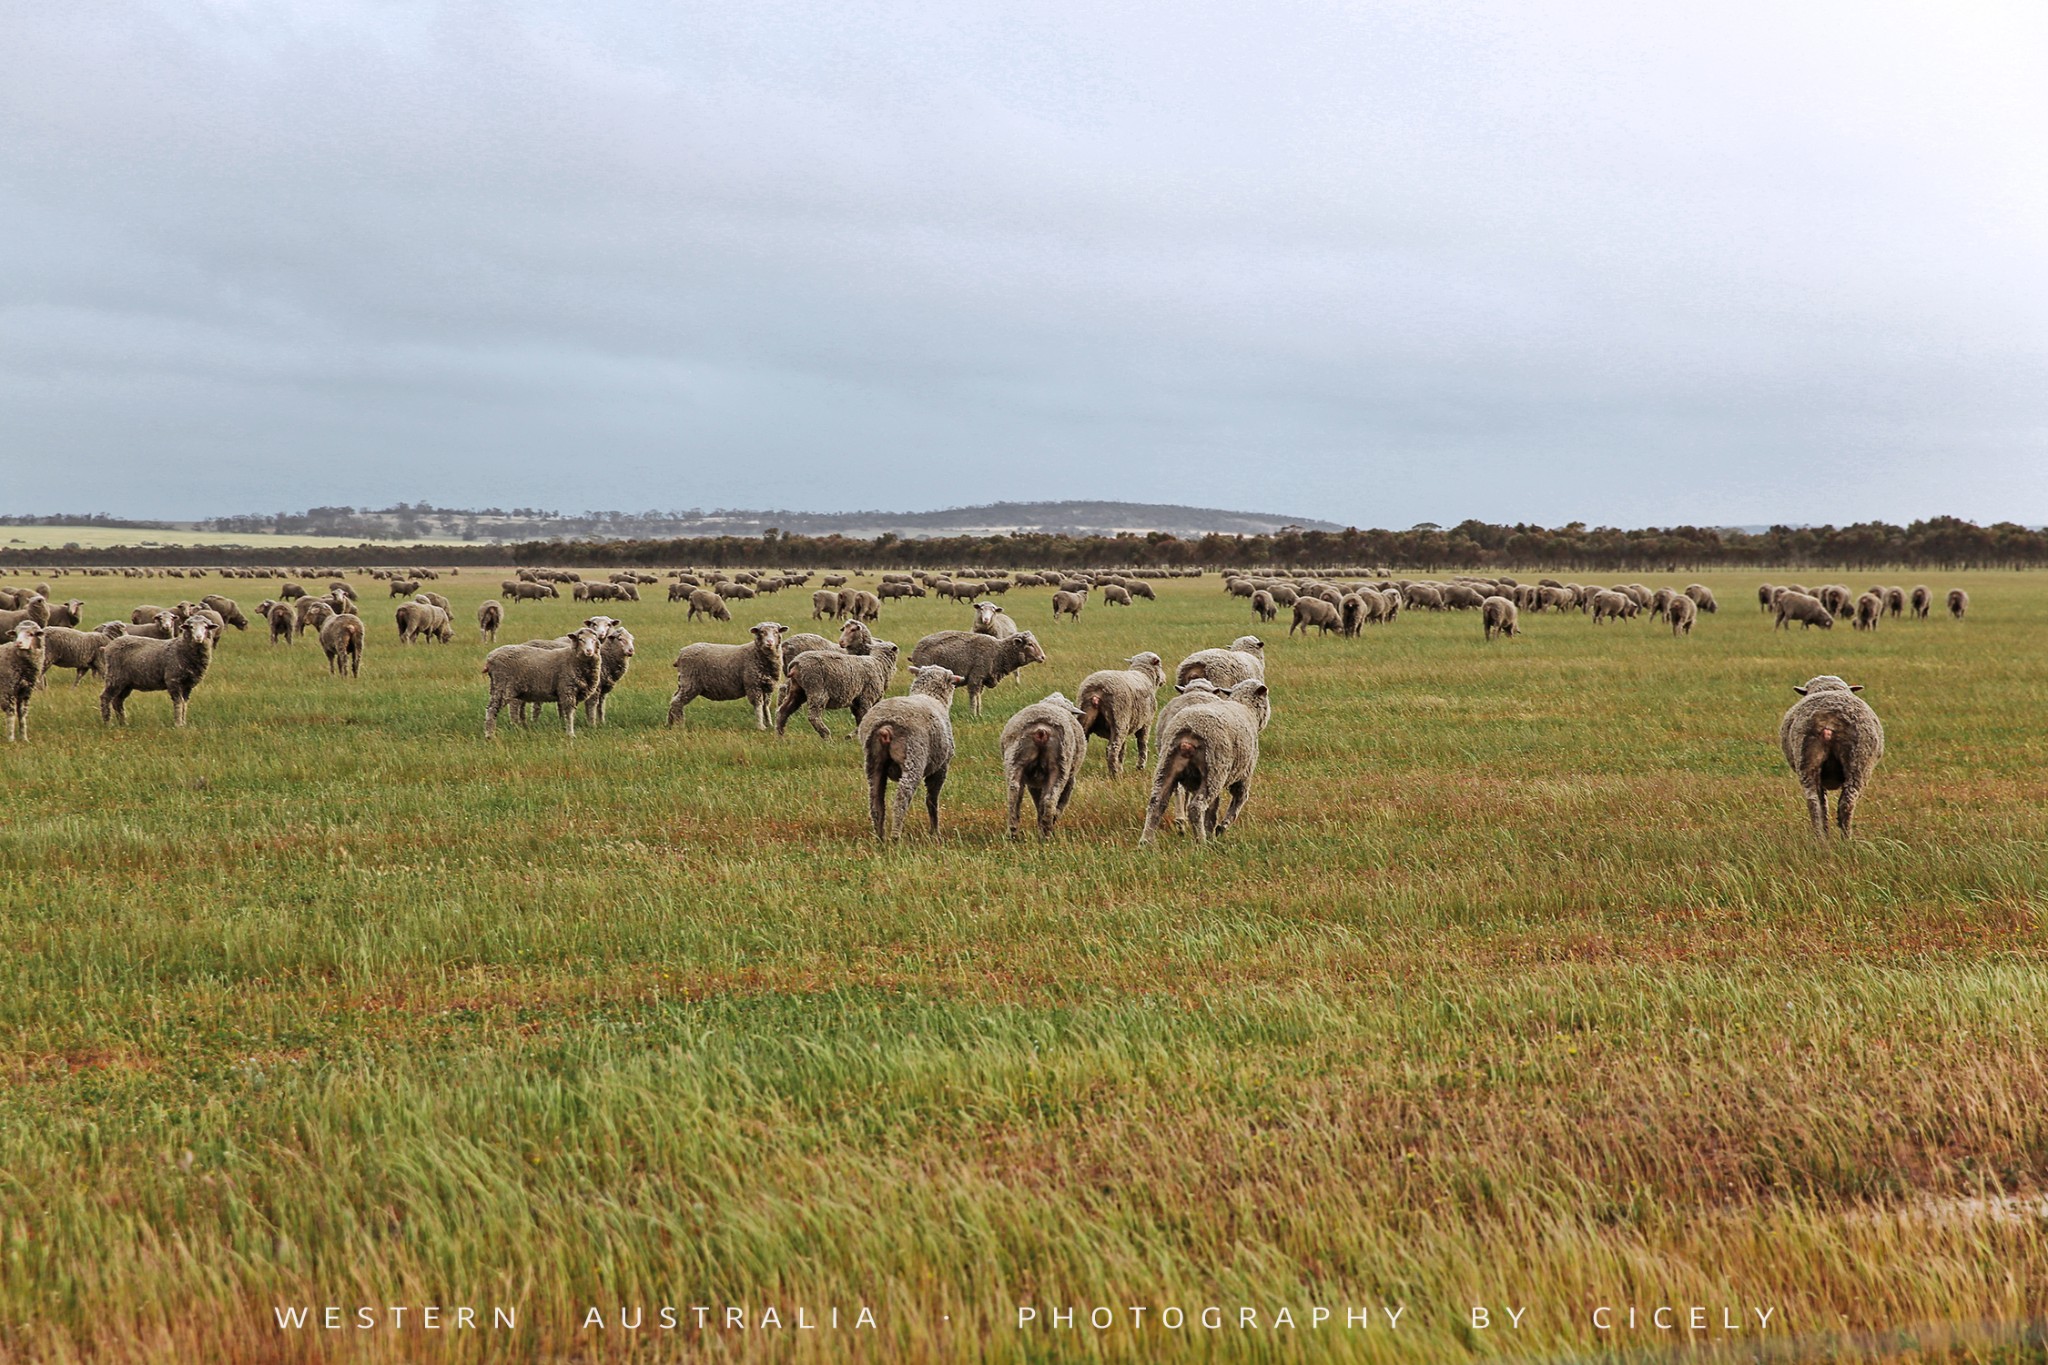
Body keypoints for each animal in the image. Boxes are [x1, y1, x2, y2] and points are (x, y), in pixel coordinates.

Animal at [770, 638, 901, 736]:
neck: (880, 664)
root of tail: (796, 662)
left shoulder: (856, 701)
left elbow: (859, 719)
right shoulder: (866, 697)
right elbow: (865, 717)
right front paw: (852, 736)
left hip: (797, 691)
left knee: (782, 712)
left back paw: (780, 736)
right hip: (817, 689)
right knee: (813, 717)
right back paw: (827, 736)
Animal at [856, 663, 966, 843]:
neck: (930, 695)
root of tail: (886, 728)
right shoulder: (941, 767)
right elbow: (932, 800)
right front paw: (935, 832)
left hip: (873, 761)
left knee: (875, 801)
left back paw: (880, 837)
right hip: (914, 757)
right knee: (902, 797)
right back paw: (895, 836)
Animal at [909, 626, 1040, 720]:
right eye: (1030, 644)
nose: (1042, 657)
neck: (998, 653)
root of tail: (916, 649)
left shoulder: (981, 679)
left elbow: (978, 697)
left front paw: (979, 714)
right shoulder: (976, 677)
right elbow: (973, 697)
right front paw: (972, 715)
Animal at [1138, 675, 1261, 843]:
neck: (1245, 708)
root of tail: (1188, 736)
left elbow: (1213, 809)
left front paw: (1211, 830)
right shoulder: (1244, 775)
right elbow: (1238, 801)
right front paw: (1221, 828)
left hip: (1167, 765)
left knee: (1157, 801)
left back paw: (1147, 841)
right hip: (1213, 772)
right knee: (1196, 807)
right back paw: (1201, 842)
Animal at [1777, 675, 1884, 839]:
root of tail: (1829, 722)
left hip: (1807, 761)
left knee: (1814, 802)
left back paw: (1821, 838)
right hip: (1859, 764)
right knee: (1846, 802)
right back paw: (1845, 839)